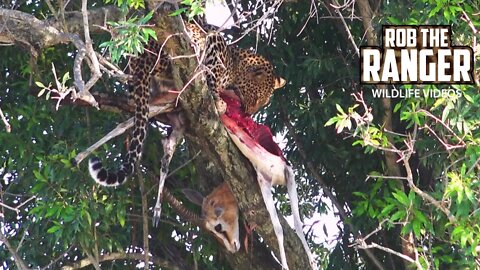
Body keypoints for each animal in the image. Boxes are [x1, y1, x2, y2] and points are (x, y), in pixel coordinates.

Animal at [87, 22, 284, 186]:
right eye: (256, 98)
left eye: (263, 103)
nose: (248, 113)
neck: (236, 67)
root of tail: (141, 55)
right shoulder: (215, 44)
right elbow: (213, 76)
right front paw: (218, 100)